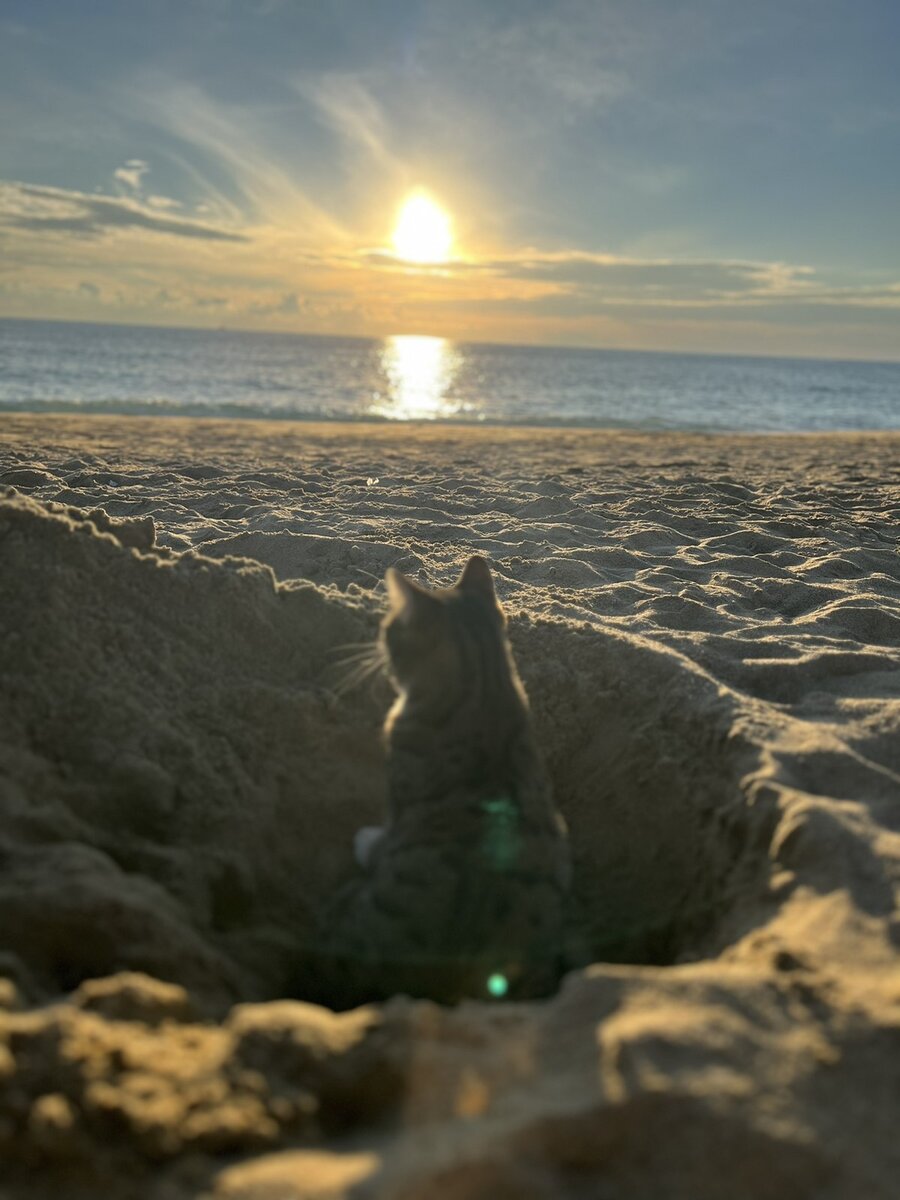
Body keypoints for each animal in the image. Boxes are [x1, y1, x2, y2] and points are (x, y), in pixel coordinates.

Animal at [316, 556, 571, 1008]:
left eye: (389, 627)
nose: (377, 638)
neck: (483, 696)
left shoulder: (397, 802)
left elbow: (381, 838)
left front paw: (365, 841)